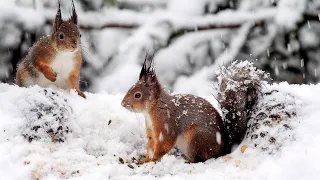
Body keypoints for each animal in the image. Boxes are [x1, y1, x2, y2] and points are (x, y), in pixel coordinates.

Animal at [121, 53, 264, 163]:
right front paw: (144, 160)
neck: (154, 108)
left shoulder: (166, 124)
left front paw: (153, 159)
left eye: (137, 95)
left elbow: (164, 143)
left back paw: (189, 161)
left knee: (201, 158)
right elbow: (150, 146)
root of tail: (224, 149)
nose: (123, 104)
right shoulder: (152, 132)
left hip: (195, 136)